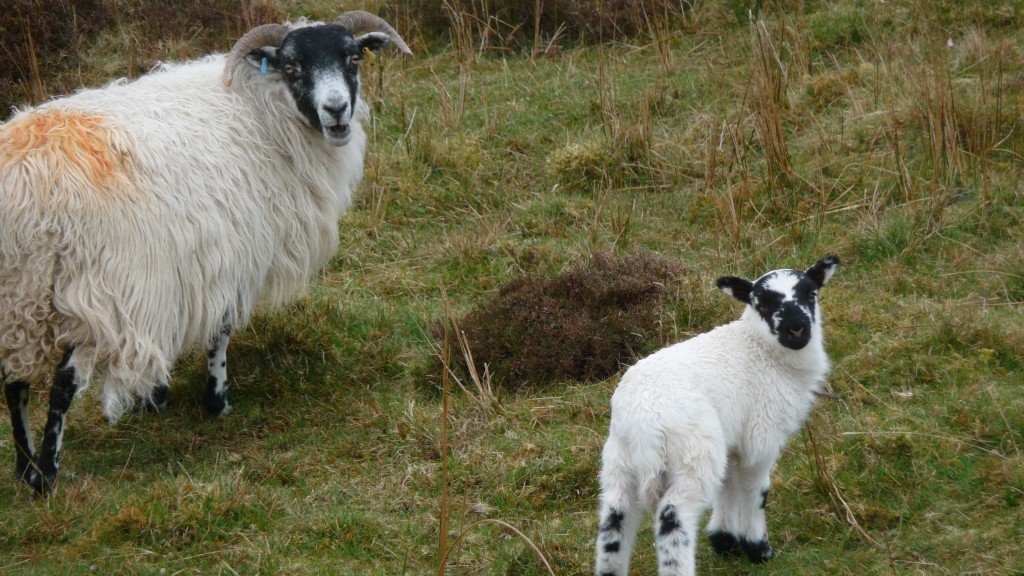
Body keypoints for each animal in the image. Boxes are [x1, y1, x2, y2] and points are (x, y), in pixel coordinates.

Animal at [0, 11, 412, 496]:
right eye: (292, 67)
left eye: (352, 58)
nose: (336, 110)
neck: (259, 109)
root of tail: (21, 181)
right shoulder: (231, 254)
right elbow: (221, 329)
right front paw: (217, 401)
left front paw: (157, 398)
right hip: (89, 293)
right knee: (62, 386)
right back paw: (47, 475)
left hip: (20, 296)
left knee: (14, 382)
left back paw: (24, 467)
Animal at [594, 256, 840, 576]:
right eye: (762, 305)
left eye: (811, 295)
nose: (796, 330)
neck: (760, 349)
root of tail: (643, 422)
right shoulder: (760, 437)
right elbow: (756, 491)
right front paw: (758, 549)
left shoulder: (731, 439)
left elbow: (728, 485)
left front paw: (724, 540)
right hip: (693, 452)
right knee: (673, 517)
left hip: (621, 462)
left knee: (615, 519)